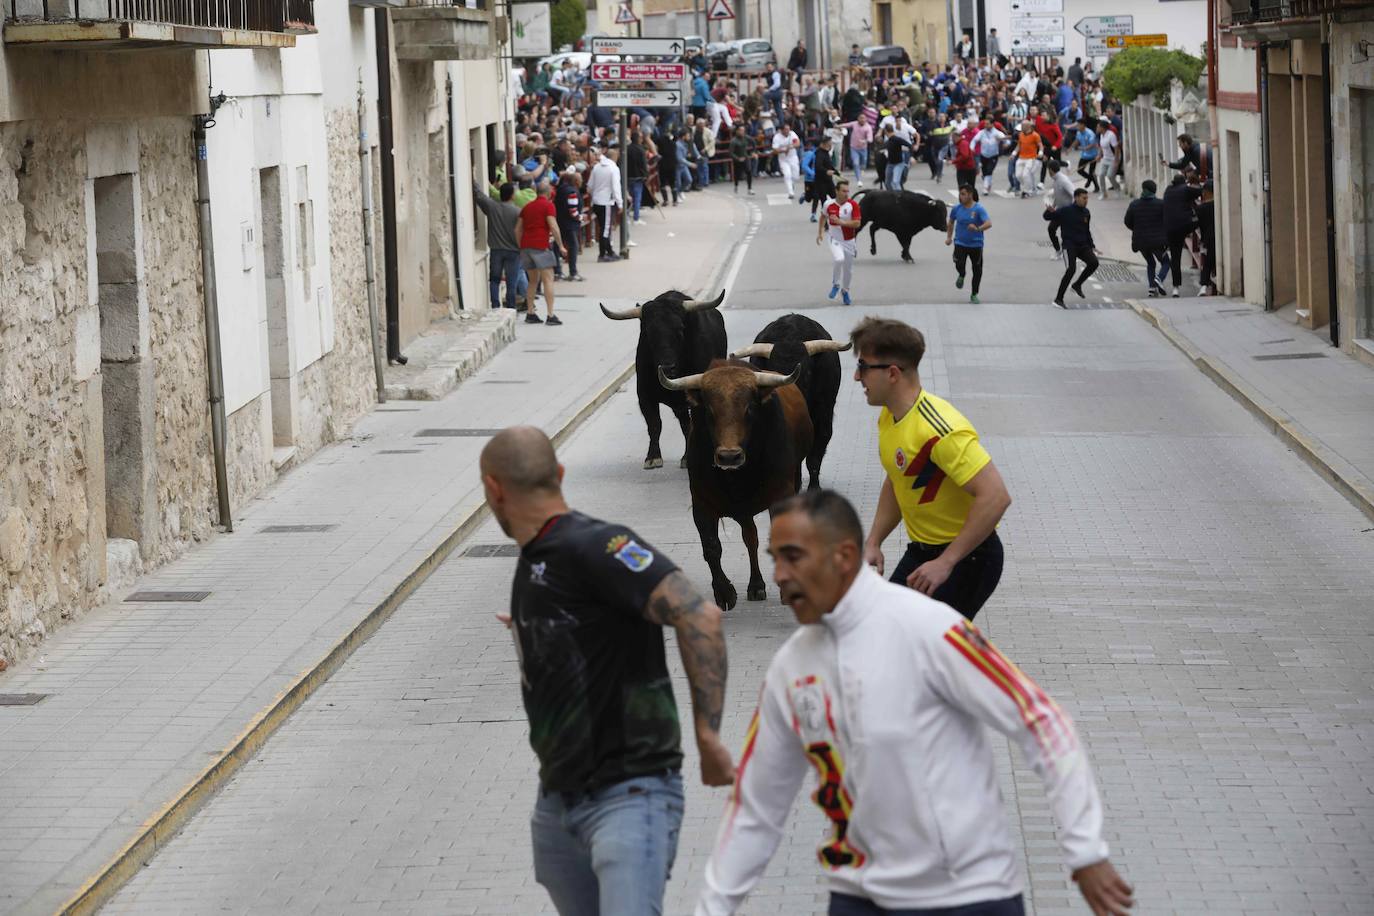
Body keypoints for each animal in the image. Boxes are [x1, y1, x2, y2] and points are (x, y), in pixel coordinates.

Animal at [601, 289, 730, 469]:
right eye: (648, 332)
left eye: (680, 329)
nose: (667, 367)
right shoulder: (644, 396)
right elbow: (654, 424)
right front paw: (653, 457)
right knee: (684, 423)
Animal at [659, 357, 807, 609]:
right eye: (709, 410)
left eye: (749, 408)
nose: (729, 456)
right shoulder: (701, 503)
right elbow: (711, 547)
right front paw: (724, 593)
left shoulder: (782, 494)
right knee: (751, 538)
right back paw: (756, 586)